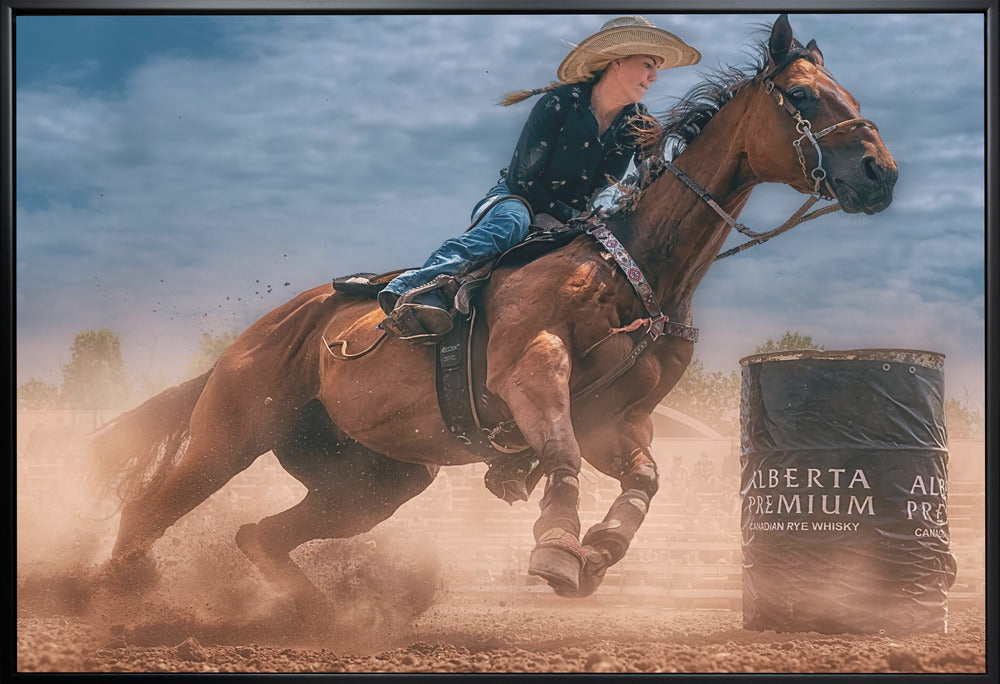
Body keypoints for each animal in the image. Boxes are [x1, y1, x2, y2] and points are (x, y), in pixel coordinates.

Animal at [93, 15, 897, 618]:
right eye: (803, 96)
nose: (880, 173)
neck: (634, 270)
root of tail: (257, 336)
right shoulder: (531, 369)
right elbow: (561, 456)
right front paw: (556, 550)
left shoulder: (617, 419)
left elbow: (644, 480)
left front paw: (596, 553)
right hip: (230, 436)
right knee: (149, 510)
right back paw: (111, 595)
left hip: (374, 481)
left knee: (259, 536)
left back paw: (320, 617)